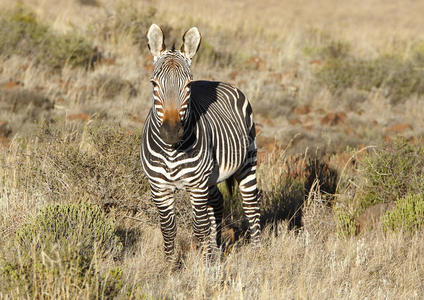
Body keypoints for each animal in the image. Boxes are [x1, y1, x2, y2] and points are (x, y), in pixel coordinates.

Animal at [140, 24, 258, 262]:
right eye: (154, 84)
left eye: (188, 85)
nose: (171, 132)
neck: (171, 151)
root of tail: (218, 82)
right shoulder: (159, 188)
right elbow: (168, 229)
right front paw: (170, 266)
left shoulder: (197, 186)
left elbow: (200, 228)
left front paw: (205, 266)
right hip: (212, 176)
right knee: (218, 202)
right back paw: (217, 248)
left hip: (247, 161)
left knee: (251, 206)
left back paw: (259, 253)